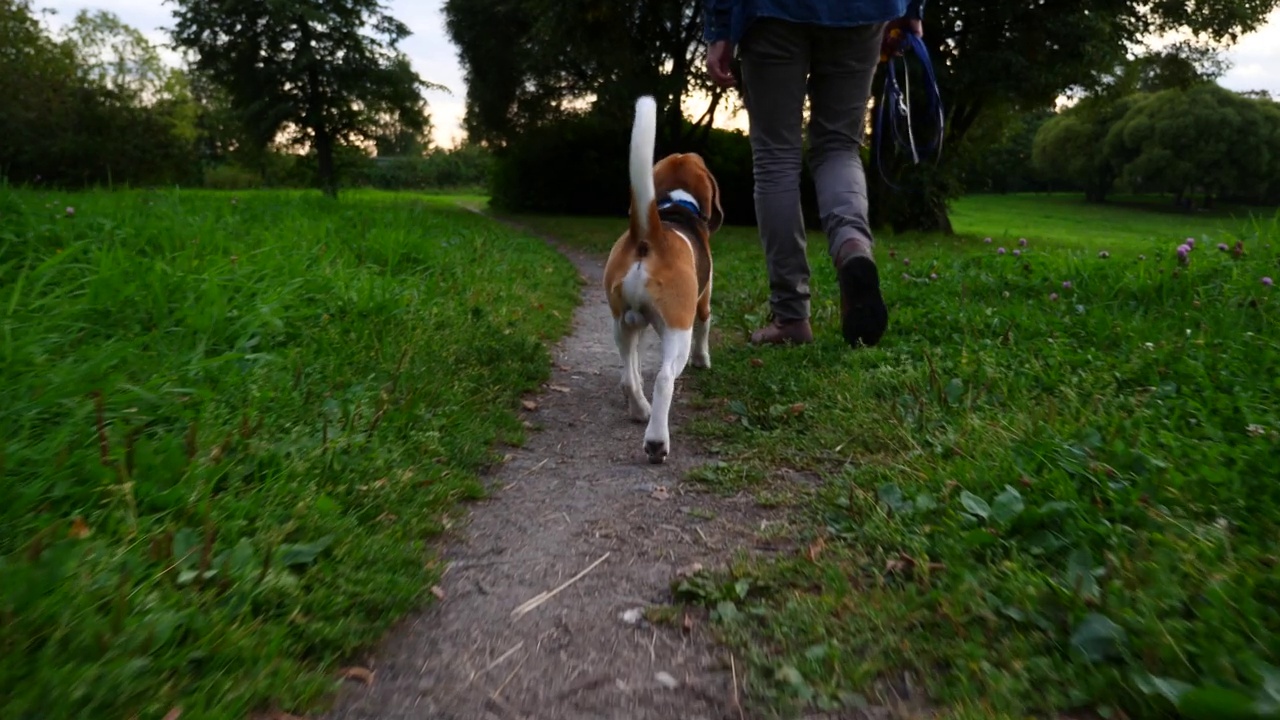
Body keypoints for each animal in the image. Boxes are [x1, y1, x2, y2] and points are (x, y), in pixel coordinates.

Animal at [604, 95, 727, 461]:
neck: (676, 205)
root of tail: (650, 235)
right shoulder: (703, 302)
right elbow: (706, 329)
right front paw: (704, 361)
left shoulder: (638, 323)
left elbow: (634, 363)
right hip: (678, 329)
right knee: (664, 378)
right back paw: (657, 440)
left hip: (621, 323)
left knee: (629, 375)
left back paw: (638, 409)